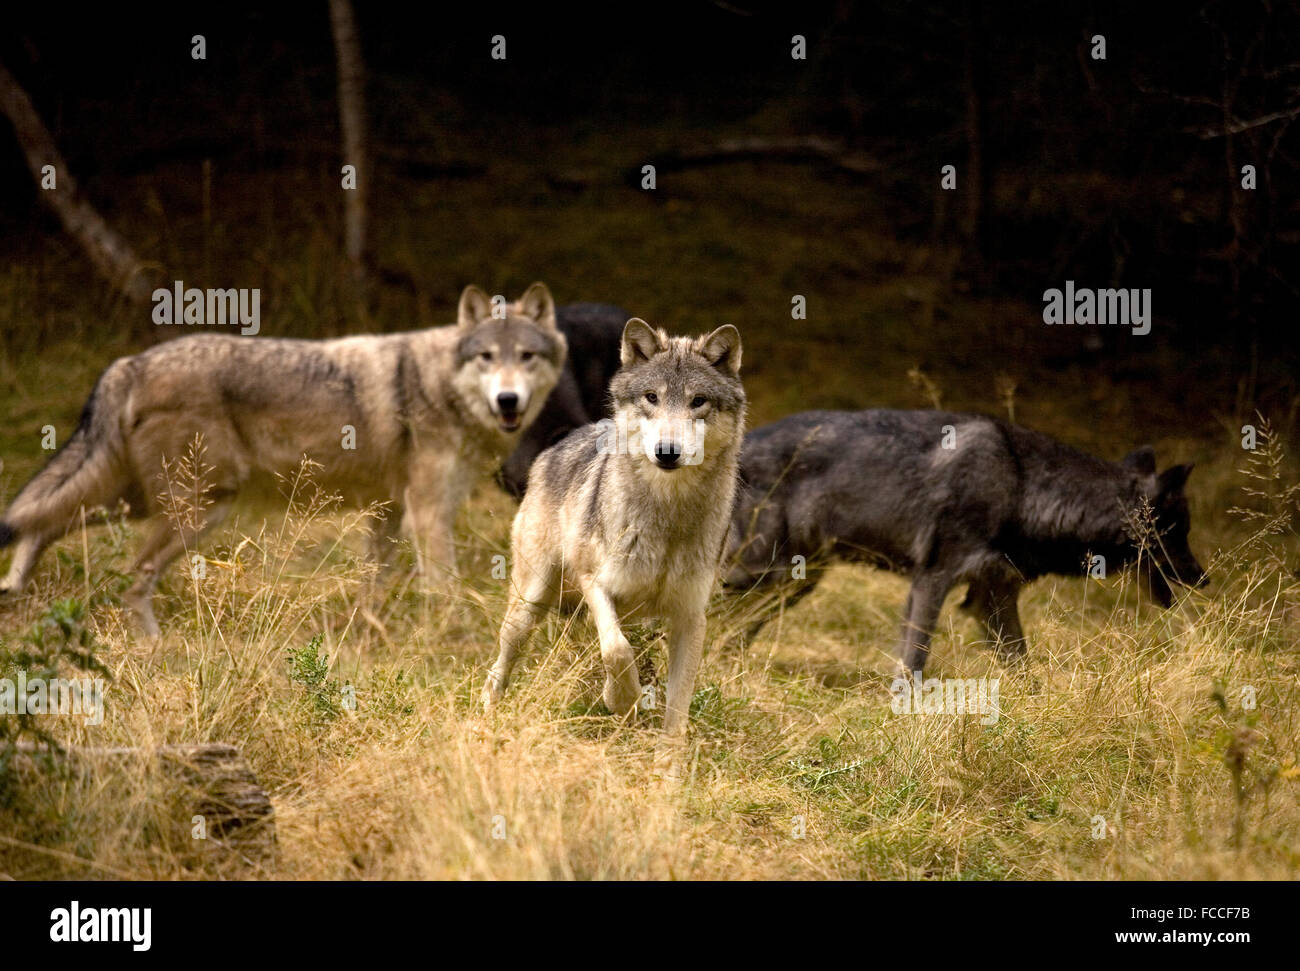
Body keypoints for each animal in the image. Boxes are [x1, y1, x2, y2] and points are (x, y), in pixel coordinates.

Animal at [1, 279, 569, 636]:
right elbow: (445, 588)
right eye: (487, 358)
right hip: (194, 510)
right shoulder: (427, 514)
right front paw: (451, 636)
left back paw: (14, 588)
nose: (508, 401)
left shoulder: (388, 512)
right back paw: (153, 646)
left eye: (526, 357)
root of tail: (131, 362)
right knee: (128, 575)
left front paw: (370, 636)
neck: (437, 386)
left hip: (145, 502)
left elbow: (370, 587)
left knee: (43, 523)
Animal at [483, 321, 748, 753]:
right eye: (651, 397)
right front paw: (622, 700)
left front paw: (667, 767)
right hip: (529, 606)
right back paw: (486, 719)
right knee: (500, 666)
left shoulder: (692, 618)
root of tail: (558, 444)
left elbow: (677, 711)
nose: (667, 452)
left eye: (698, 401)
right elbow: (617, 651)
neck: (667, 516)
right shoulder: (594, 581)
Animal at [728, 410, 1201, 675]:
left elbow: (1023, 667)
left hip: (791, 584)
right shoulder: (933, 581)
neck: (1022, 486)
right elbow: (914, 662)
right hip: (761, 575)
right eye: (1177, 533)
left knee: (734, 629)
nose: (1204, 578)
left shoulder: (991, 597)